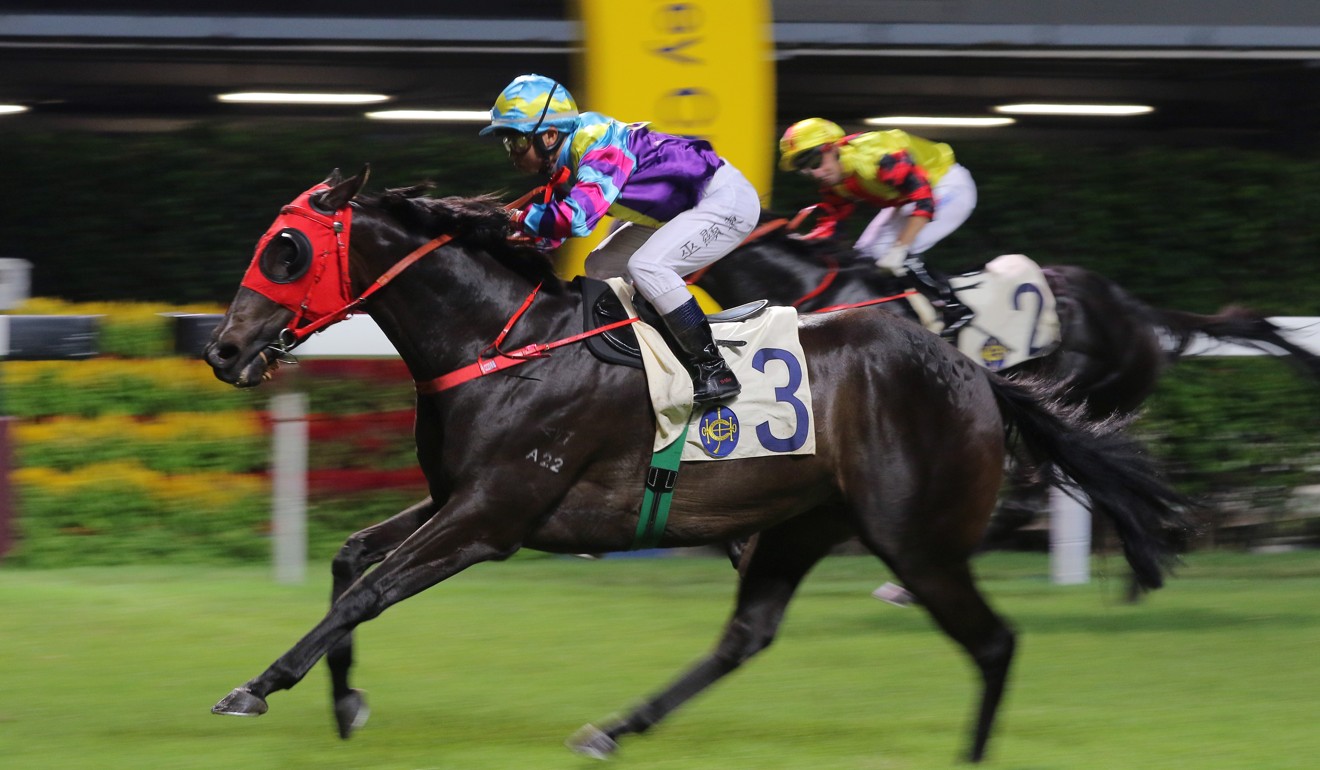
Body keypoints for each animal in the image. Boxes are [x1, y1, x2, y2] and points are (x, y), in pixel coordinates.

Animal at [205, 165, 1198, 760]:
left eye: (284, 249)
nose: (223, 349)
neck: (503, 343)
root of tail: (978, 376)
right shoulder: (458, 496)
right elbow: (350, 562)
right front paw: (345, 704)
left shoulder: (492, 516)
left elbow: (369, 590)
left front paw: (257, 687)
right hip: (806, 522)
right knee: (745, 636)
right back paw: (615, 728)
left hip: (912, 535)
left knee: (991, 639)